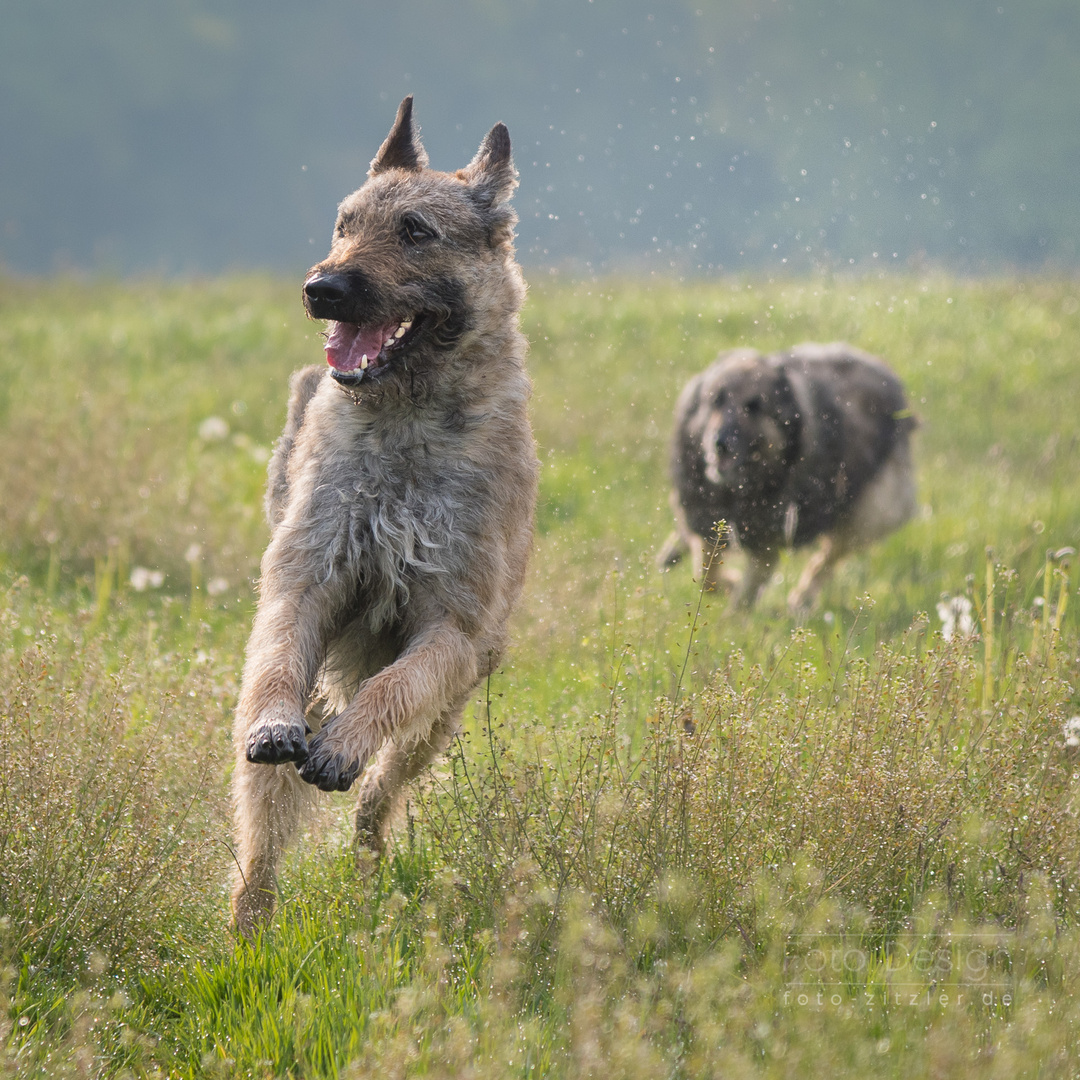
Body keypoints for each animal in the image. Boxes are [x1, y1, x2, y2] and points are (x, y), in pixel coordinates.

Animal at [235, 97, 540, 937]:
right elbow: (277, 663)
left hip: (446, 713)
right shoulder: (301, 584)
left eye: (415, 230)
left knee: (382, 794)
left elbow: (392, 689)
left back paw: (371, 862)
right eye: (345, 223)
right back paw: (247, 929)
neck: (404, 428)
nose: (322, 288)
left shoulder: (448, 634)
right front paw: (277, 724)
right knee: (261, 842)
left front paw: (346, 745)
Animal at [652, 341, 915, 613]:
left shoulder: (767, 546)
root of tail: (888, 375)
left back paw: (800, 601)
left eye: (754, 407)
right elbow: (705, 574)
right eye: (716, 400)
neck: (740, 490)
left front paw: (732, 613)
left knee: (826, 562)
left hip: (867, 518)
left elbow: (736, 596)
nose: (720, 443)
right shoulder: (707, 519)